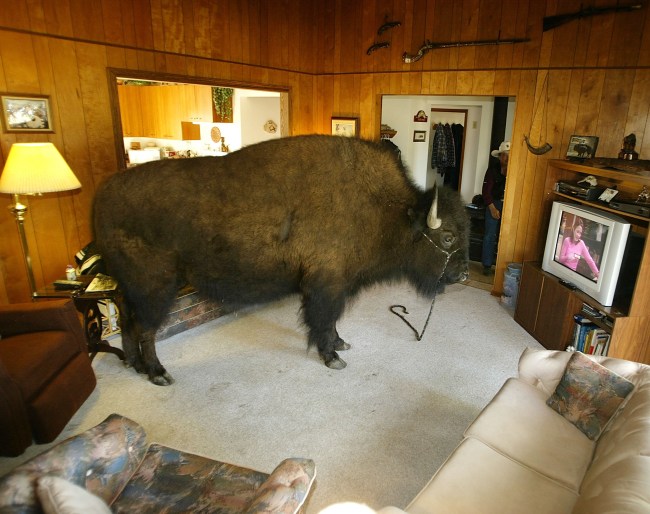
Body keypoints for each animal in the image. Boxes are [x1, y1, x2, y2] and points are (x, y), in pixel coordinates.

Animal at [92, 134, 466, 382]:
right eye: (447, 236)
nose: (462, 274)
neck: (390, 211)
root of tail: (102, 198)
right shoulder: (325, 285)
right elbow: (322, 319)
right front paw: (332, 357)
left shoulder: (337, 285)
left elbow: (332, 320)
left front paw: (340, 344)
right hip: (156, 288)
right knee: (146, 328)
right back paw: (158, 373)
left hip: (130, 288)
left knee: (129, 322)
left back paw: (134, 365)